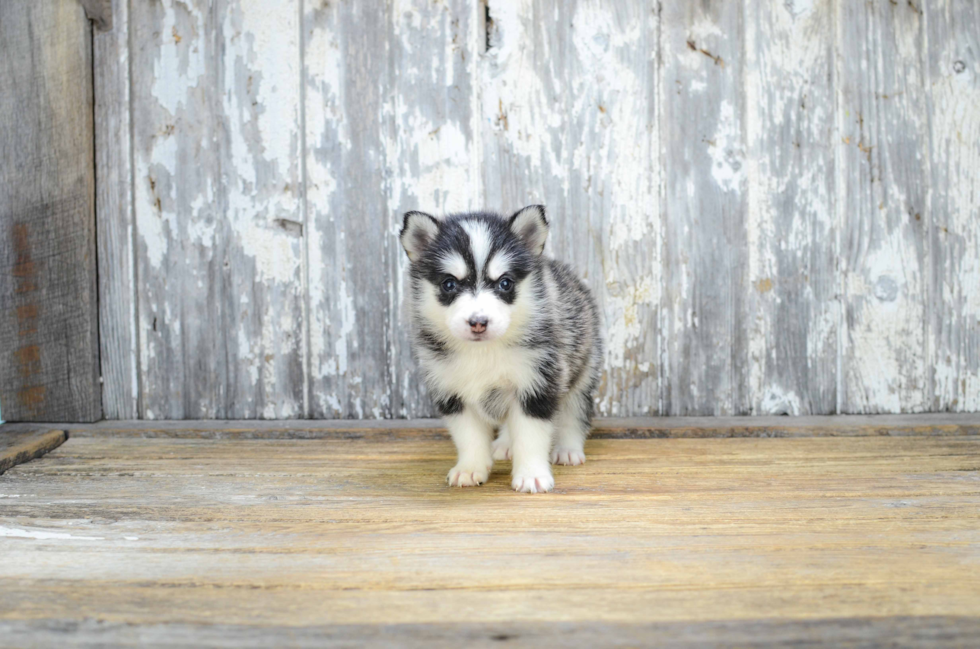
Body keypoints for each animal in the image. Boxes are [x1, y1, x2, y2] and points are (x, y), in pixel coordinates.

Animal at [400, 205, 600, 494]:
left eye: (505, 283)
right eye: (449, 284)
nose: (478, 322)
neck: (483, 352)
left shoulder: (537, 383)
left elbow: (530, 435)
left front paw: (531, 475)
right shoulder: (450, 390)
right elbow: (469, 436)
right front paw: (469, 468)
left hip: (583, 365)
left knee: (574, 410)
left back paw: (568, 449)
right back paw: (505, 444)